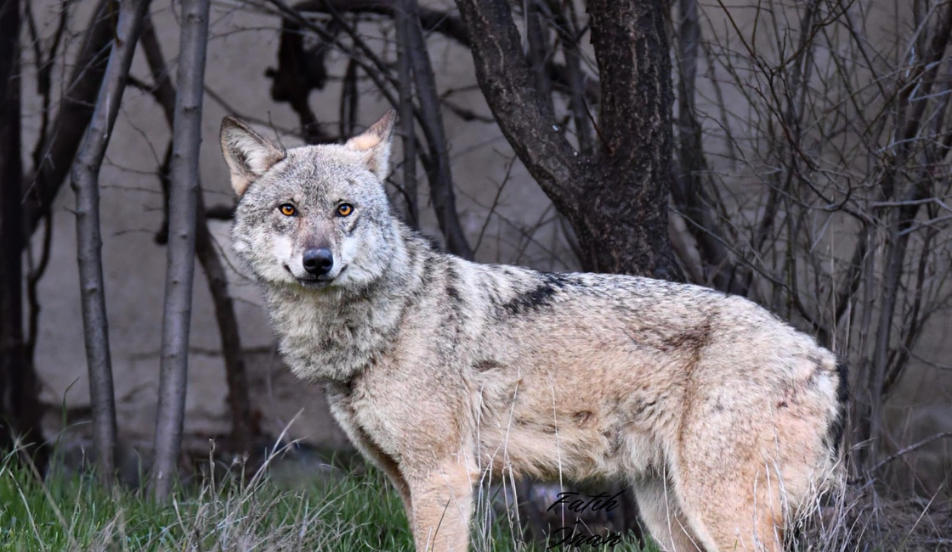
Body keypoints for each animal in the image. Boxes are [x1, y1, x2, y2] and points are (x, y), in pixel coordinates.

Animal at [221, 112, 848, 552]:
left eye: (344, 209)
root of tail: (819, 355)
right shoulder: (405, 480)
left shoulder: (444, 475)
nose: (318, 262)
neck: (385, 321)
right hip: (669, 516)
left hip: (716, 509)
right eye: (288, 211)